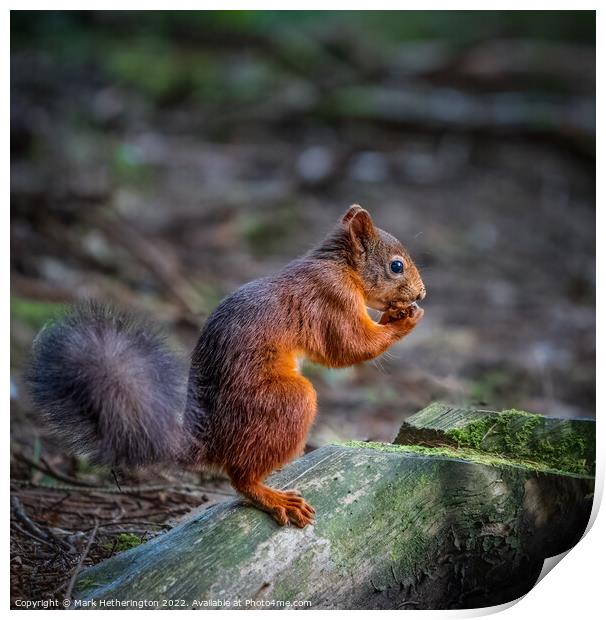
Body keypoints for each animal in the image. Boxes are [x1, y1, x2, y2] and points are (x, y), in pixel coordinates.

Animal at [26, 206, 428, 524]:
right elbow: (349, 346)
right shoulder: (332, 300)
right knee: (240, 478)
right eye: (396, 266)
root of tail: (210, 442)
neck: (338, 265)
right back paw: (273, 497)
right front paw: (403, 319)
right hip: (286, 402)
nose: (422, 294)